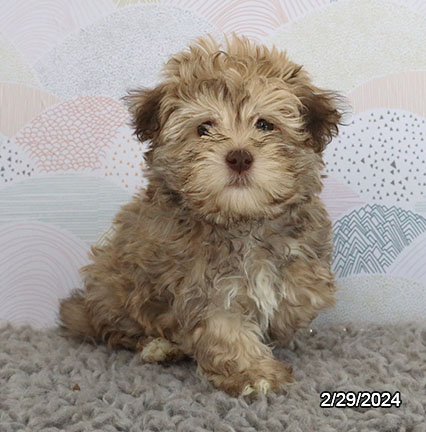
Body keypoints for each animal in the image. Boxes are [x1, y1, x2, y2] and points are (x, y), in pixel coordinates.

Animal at [60, 35, 342, 396]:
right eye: (204, 128)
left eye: (265, 125)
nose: (239, 157)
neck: (241, 220)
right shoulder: (202, 287)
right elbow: (225, 328)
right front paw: (255, 374)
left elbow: (298, 293)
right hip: (112, 285)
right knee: (117, 329)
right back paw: (159, 346)